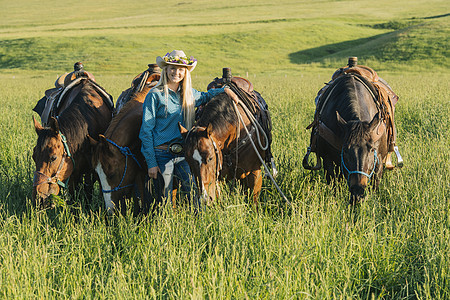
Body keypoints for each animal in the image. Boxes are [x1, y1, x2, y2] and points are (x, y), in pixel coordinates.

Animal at [178, 72, 270, 209]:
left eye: (210, 158)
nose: (204, 199)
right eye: (188, 161)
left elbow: (254, 201)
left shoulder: (255, 173)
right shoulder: (218, 176)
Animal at [300, 60, 396, 205]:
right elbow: (334, 183)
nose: (358, 190)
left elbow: (375, 184)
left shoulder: (379, 157)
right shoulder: (328, 158)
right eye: (345, 150)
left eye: (372, 149)